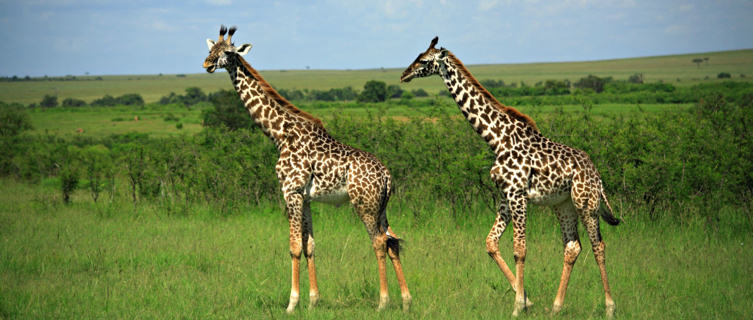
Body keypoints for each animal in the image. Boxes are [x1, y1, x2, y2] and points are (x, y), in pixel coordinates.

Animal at [201, 26, 412, 312]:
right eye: (212, 49)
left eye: (229, 53)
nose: (207, 64)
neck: (279, 134)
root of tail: (388, 176)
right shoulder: (306, 197)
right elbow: (309, 244)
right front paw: (313, 300)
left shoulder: (290, 192)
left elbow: (293, 246)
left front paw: (292, 303)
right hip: (381, 207)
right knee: (392, 242)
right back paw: (406, 301)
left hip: (364, 205)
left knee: (379, 242)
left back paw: (383, 302)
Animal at [400, 37, 616, 318]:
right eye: (416, 56)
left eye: (424, 61)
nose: (404, 75)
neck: (497, 139)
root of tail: (597, 175)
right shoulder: (505, 195)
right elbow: (491, 243)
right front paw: (526, 300)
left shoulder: (518, 194)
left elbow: (520, 250)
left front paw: (516, 307)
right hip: (563, 204)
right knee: (572, 247)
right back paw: (556, 307)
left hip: (586, 202)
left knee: (598, 246)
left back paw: (610, 307)